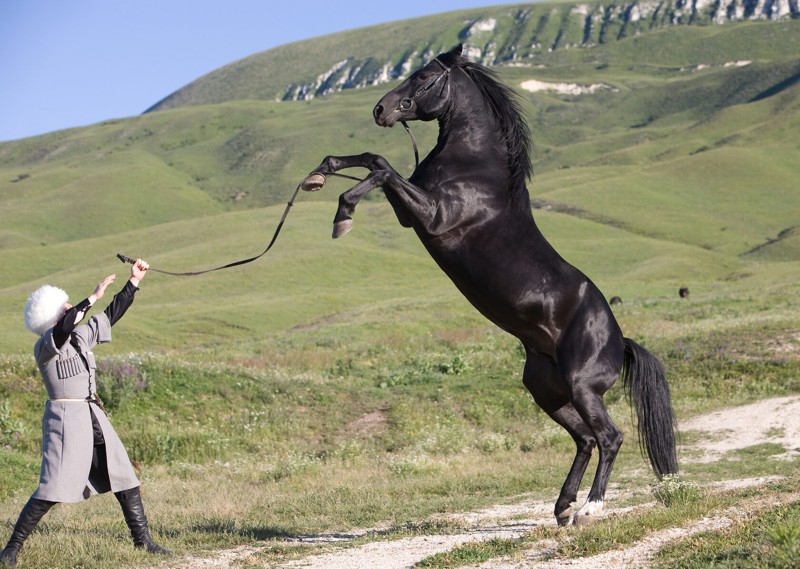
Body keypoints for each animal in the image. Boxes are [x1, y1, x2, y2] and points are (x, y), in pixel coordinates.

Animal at [304, 43, 680, 524]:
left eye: (423, 76)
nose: (381, 110)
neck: (475, 166)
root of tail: (620, 339)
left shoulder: (430, 215)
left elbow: (383, 169)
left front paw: (343, 213)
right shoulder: (412, 212)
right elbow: (373, 160)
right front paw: (320, 174)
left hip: (582, 387)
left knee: (609, 438)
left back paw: (590, 507)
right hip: (547, 391)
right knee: (585, 439)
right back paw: (562, 507)